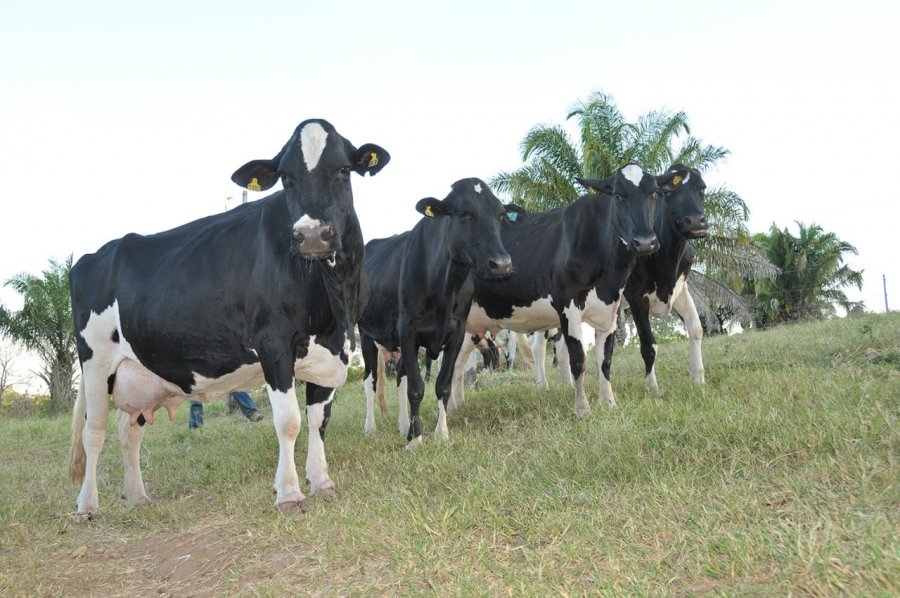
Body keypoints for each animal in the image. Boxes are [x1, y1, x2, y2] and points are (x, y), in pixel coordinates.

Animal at [68, 119, 392, 516]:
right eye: (285, 177)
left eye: (344, 170)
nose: (312, 234)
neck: (333, 298)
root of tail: (92, 256)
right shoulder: (273, 342)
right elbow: (289, 421)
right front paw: (289, 493)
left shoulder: (335, 349)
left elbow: (319, 420)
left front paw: (322, 482)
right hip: (96, 362)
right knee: (93, 432)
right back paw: (87, 505)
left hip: (139, 370)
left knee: (129, 429)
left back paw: (137, 495)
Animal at [358, 180, 524, 448]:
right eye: (464, 213)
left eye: (500, 215)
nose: (501, 264)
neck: (445, 286)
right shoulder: (408, 330)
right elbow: (416, 388)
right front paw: (416, 440)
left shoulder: (456, 331)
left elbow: (442, 385)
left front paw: (440, 433)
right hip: (365, 333)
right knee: (369, 381)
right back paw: (370, 428)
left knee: (400, 378)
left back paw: (403, 426)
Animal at [454, 163, 692, 418]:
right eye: (618, 195)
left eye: (655, 193)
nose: (645, 242)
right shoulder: (567, 305)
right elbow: (578, 359)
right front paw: (582, 409)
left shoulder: (610, 308)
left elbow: (605, 360)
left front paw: (609, 403)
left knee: (458, 362)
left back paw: (457, 405)